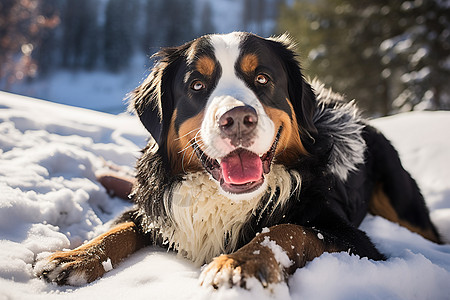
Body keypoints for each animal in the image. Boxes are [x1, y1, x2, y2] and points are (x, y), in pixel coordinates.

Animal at [36, 32, 442, 288]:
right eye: (197, 85)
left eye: (262, 79)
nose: (236, 118)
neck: (225, 198)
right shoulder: (157, 208)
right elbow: (119, 228)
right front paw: (76, 257)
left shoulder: (354, 241)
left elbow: (285, 230)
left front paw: (241, 263)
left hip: (402, 203)